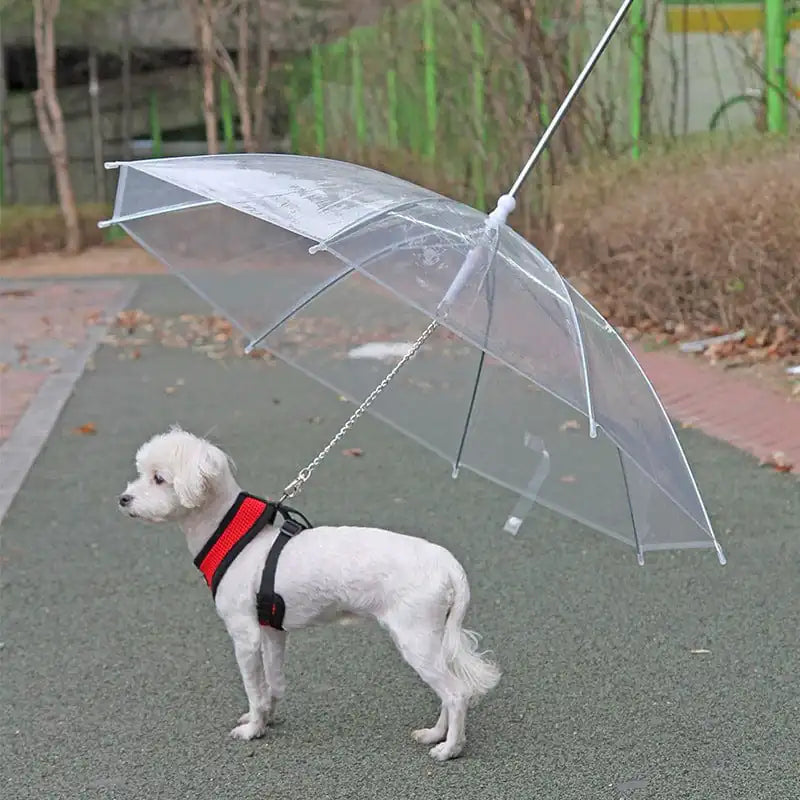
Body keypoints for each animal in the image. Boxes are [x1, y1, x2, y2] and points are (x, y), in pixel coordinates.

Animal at [119, 428, 500, 760]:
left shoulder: (245, 637)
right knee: (447, 693)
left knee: (456, 693)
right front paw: (266, 719)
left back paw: (450, 749)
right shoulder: (272, 633)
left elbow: (254, 689)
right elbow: (273, 685)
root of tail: (447, 563)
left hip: (416, 638)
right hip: (431, 638)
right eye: (142, 473)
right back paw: (436, 734)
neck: (235, 538)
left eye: (158, 478)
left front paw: (253, 729)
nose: (123, 499)